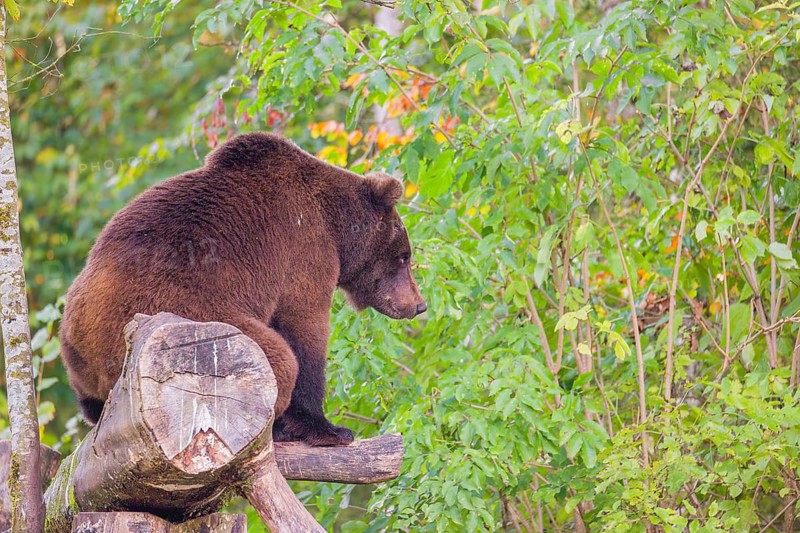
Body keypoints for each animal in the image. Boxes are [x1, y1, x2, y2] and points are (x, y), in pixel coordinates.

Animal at [59, 132, 426, 446]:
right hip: (190, 317)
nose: (419, 305)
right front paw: (328, 428)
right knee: (276, 358)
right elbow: (304, 330)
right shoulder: (304, 248)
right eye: (404, 256)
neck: (337, 227)